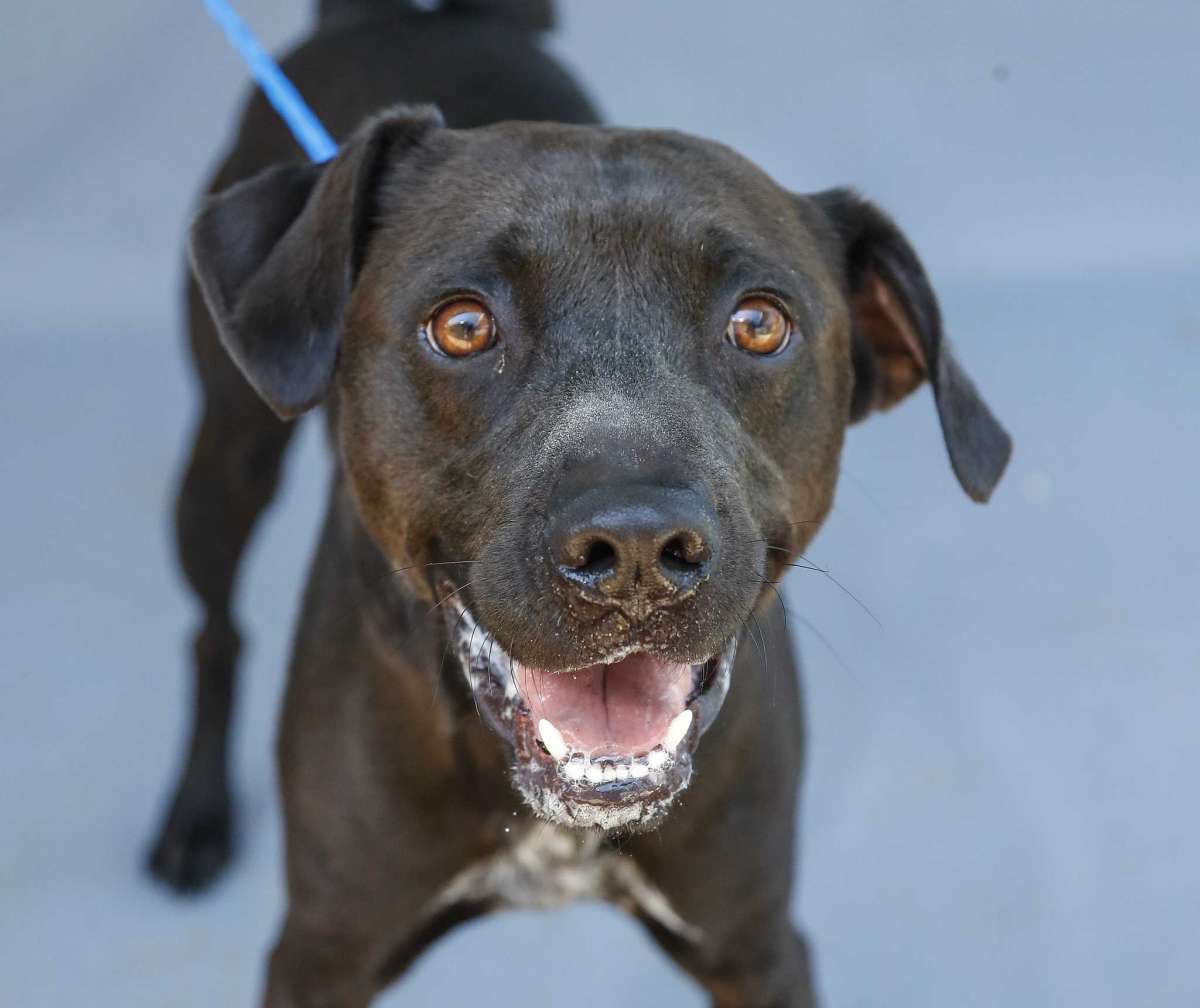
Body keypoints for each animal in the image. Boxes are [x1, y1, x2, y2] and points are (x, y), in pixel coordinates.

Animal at [152, 3, 1012, 1003]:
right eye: (462, 325)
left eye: (760, 323)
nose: (637, 550)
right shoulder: (319, 952)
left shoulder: (759, 946)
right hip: (224, 464)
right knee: (214, 629)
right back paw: (193, 818)